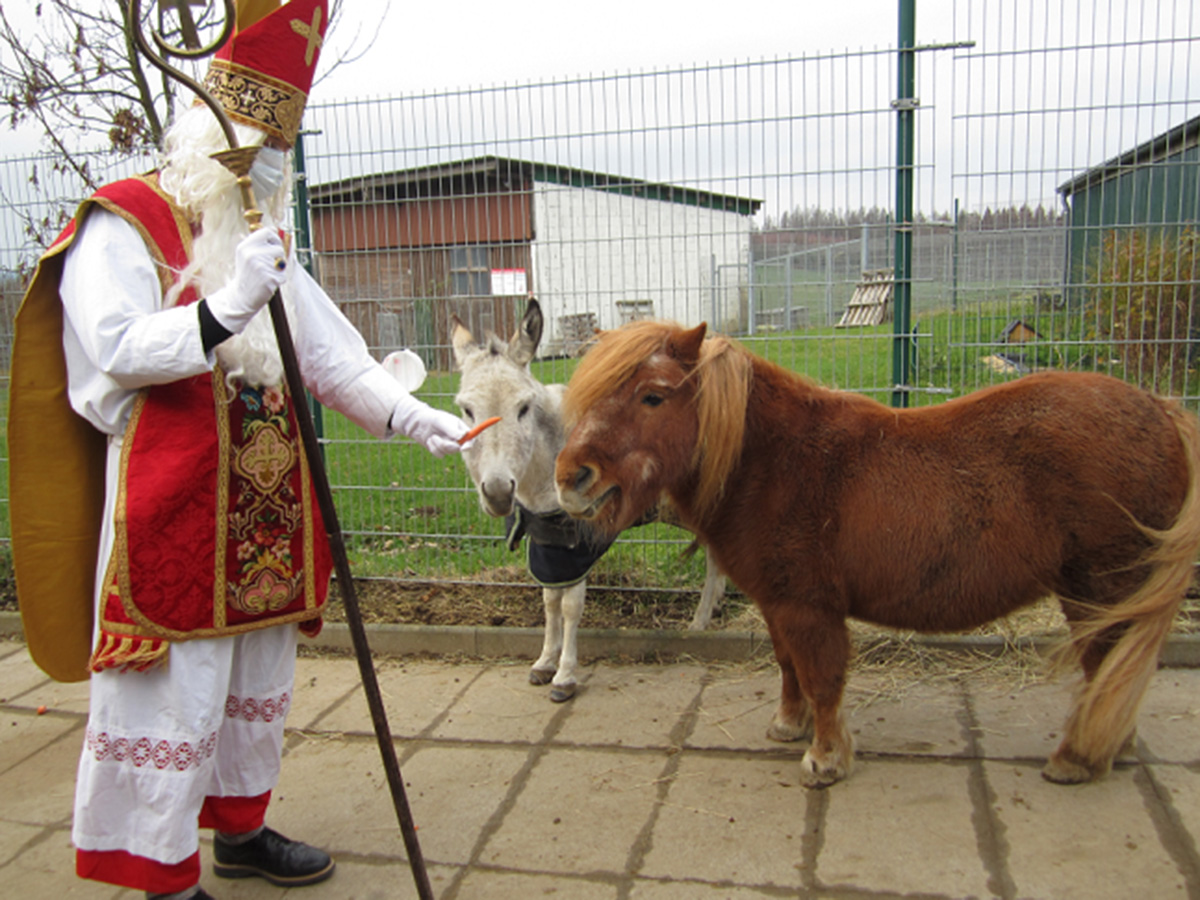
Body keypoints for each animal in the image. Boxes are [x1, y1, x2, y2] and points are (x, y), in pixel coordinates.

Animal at [554, 321, 1200, 787]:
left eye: (653, 396)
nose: (570, 478)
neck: (773, 462)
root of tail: (1160, 409)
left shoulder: (808, 608)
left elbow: (822, 678)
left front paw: (825, 760)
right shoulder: (777, 605)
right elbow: (789, 667)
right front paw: (789, 726)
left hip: (1099, 591)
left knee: (1108, 665)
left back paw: (1079, 757)